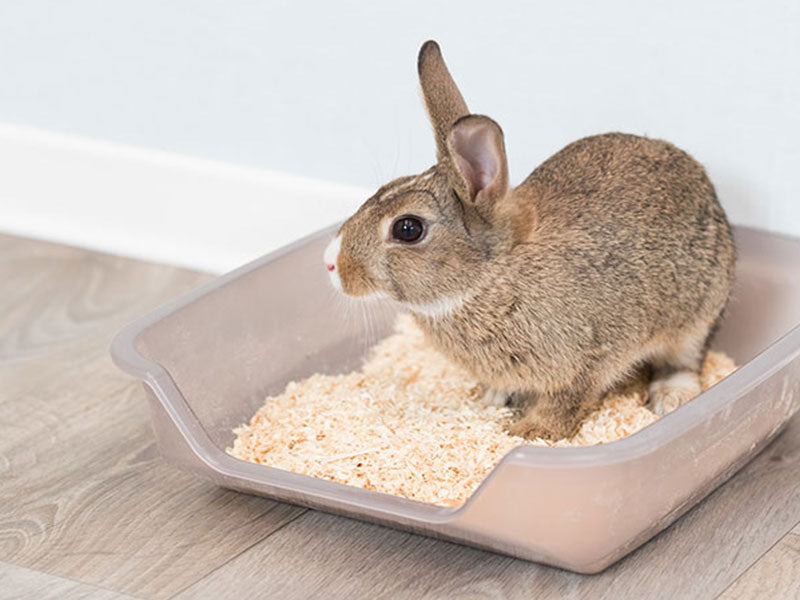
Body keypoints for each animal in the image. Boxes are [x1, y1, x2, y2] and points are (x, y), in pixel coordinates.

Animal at [323, 40, 736, 441]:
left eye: (408, 229)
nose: (330, 263)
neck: (490, 276)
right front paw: (491, 401)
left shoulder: (588, 359)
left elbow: (567, 401)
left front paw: (531, 432)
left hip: (696, 315)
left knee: (683, 361)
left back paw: (671, 398)